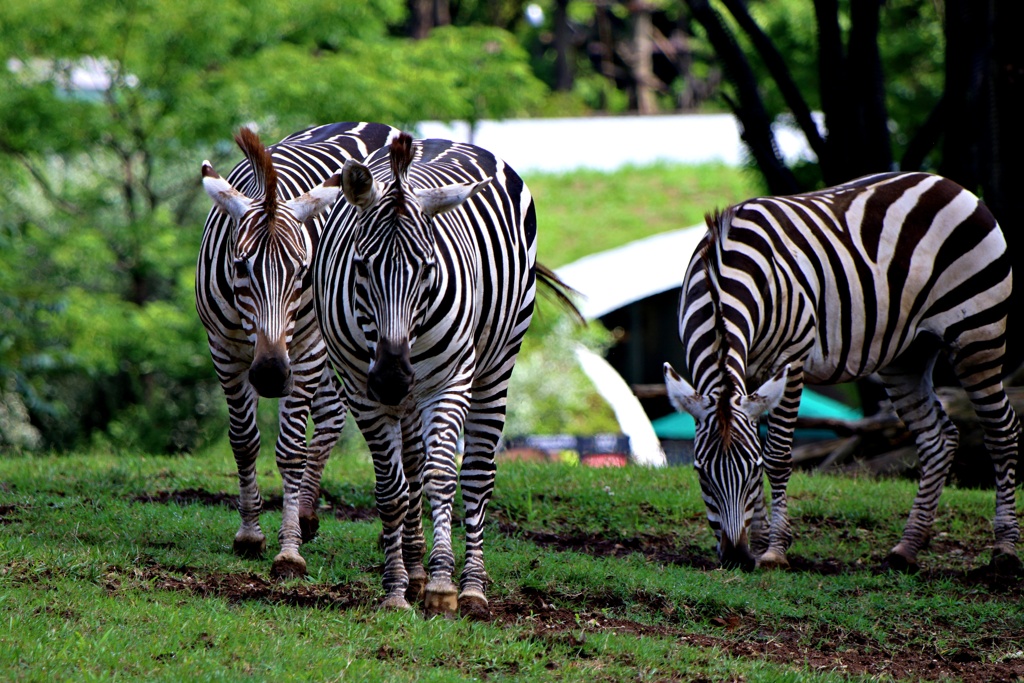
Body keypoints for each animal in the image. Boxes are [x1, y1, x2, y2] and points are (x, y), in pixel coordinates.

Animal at [195, 121, 399, 577]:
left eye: (304, 269)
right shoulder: (224, 350)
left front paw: (288, 552)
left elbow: (290, 451)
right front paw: (249, 534)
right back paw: (307, 515)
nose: (271, 374)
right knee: (331, 413)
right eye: (240, 266)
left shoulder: (305, 351)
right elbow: (243, 441)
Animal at [313, 133, 561, 618]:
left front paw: (444, 586)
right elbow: (391, 489)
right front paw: (395, 589)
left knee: (477, 473)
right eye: (361, 267)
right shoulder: (359, 388)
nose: (392, 378)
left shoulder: (449, 380)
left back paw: (472, 588)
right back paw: (414, 570)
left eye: (428, 267)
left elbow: (443, 477)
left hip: (496, 364)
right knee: (412, 465)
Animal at [663, 171, 1015, 573]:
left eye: (752, 471)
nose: (737, 558)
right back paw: (906, 548)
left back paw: (1005, 549)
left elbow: (778, 455)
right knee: (937, 439)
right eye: (700, 473)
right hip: (907, 356)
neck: (723, 274)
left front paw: (774, 550)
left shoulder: (791, 357)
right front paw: (759, 541)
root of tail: (947, 183)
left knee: (1001, 430)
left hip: (978, 333)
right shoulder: (748, 375)